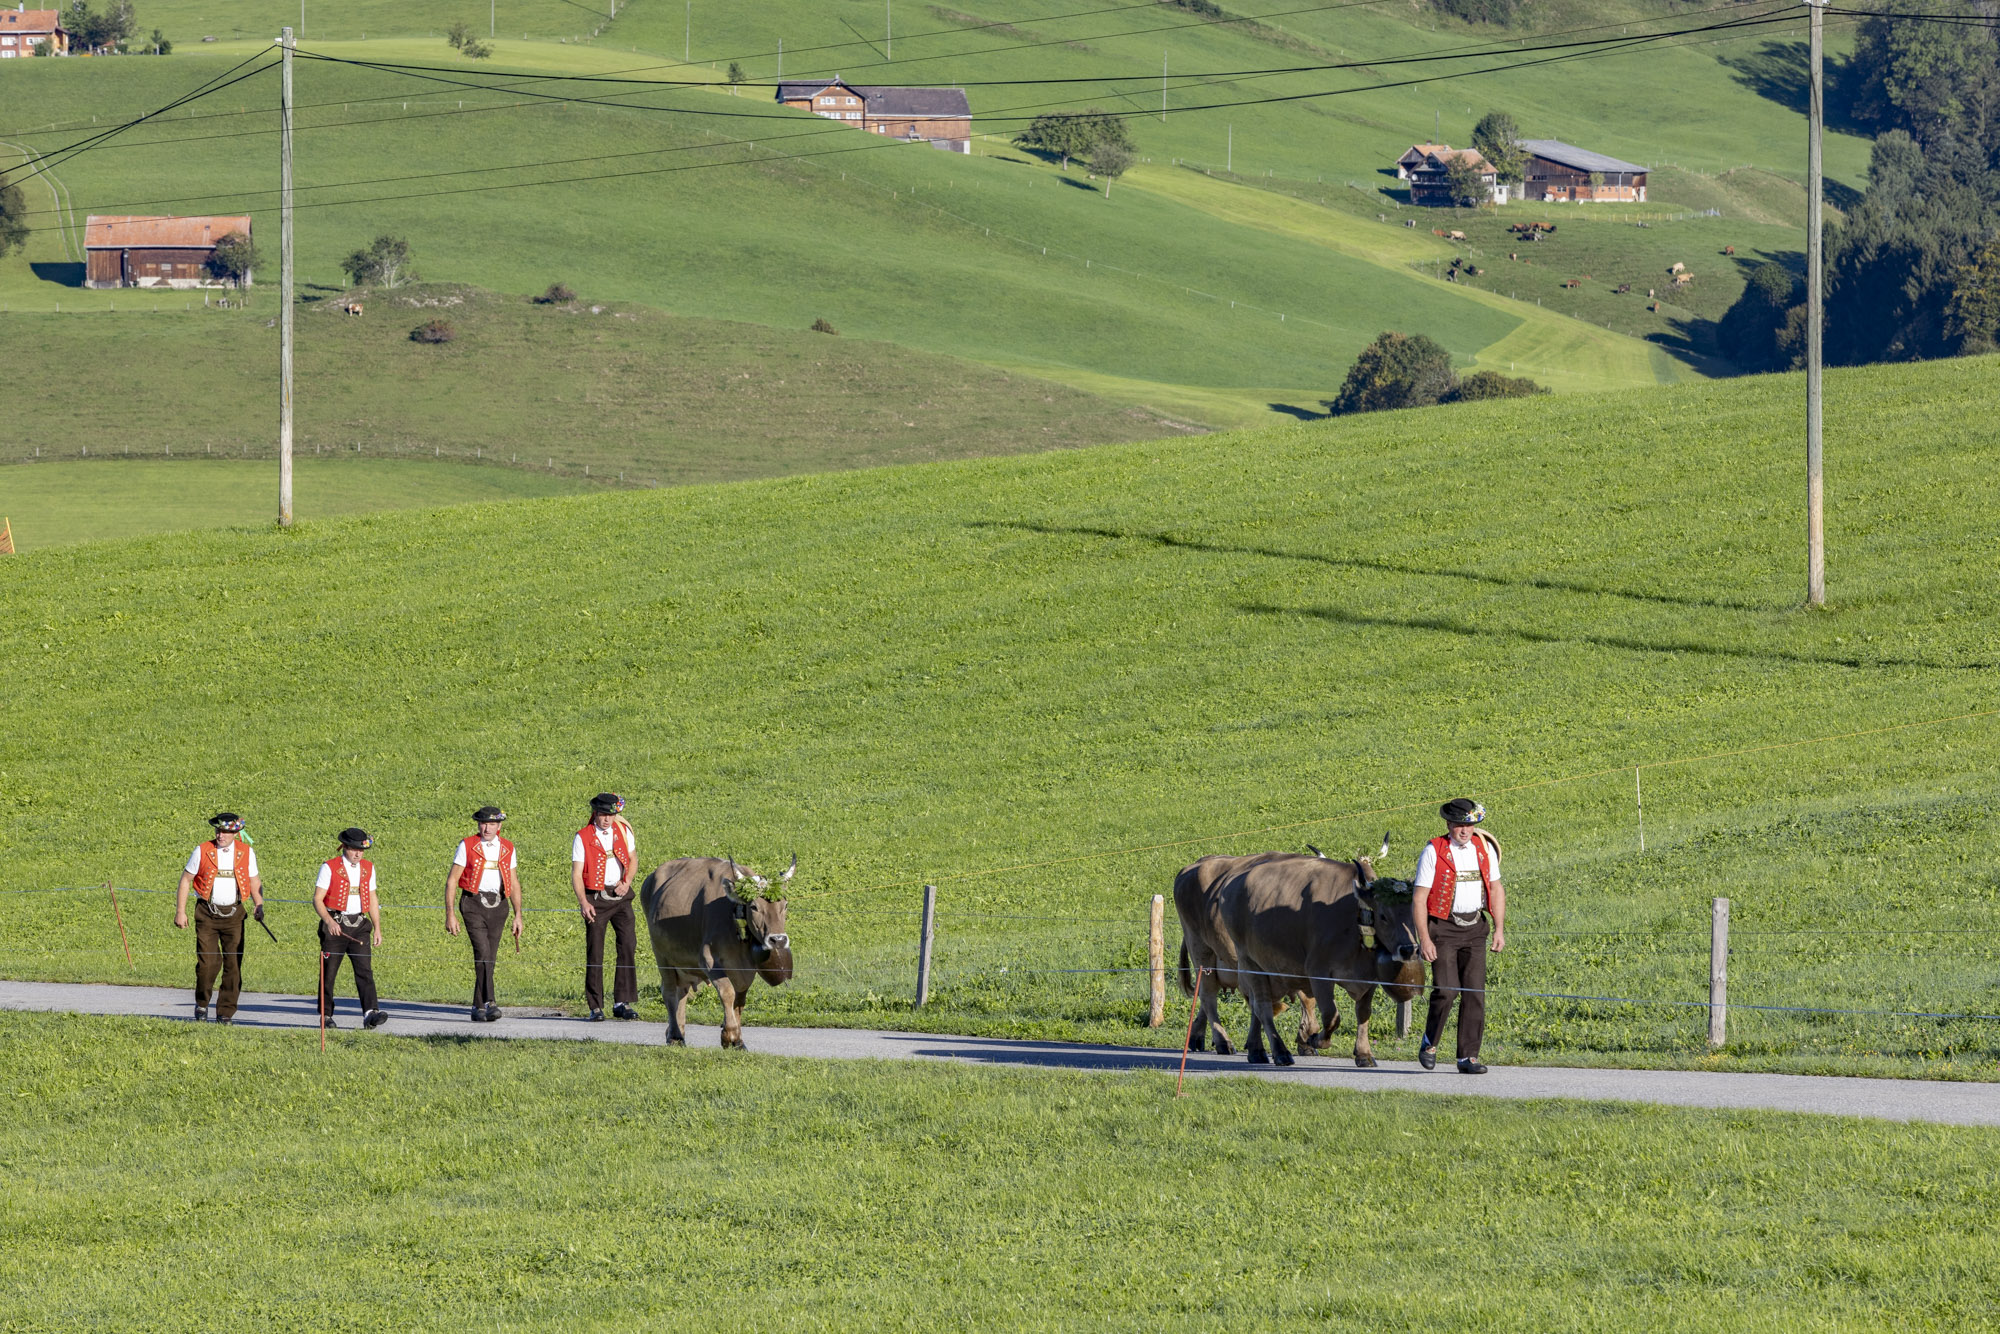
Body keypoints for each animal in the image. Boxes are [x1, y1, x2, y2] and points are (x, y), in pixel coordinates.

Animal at [638, 855, 793, 1049]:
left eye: (785, 904)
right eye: (754, 907)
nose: (778, 940)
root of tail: (651, 877)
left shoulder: (746, 969)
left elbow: (739, 1001)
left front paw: (738, 1041)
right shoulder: (708, 960)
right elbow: (728, 993)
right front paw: (729, 1035)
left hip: (684, 962)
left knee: (682, 992)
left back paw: (678, 1032)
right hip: (662, 954)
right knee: (669, 991)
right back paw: (675, 1035)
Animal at [1216, 839, 1424, 1067]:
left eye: (1412, 912)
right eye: (1383, 915)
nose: (1409, 949)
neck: (1353, 918)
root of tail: (1233, 881)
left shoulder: (1369, 978)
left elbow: (1363, 1013)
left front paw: (1364, 1054)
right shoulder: (1318, 973)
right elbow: (1332, 1016)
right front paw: (1316, 1039)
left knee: (1255, 1007)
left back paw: (1256, 1050)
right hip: (1250, 963)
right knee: (1262, 1007)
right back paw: (1280, 1052)